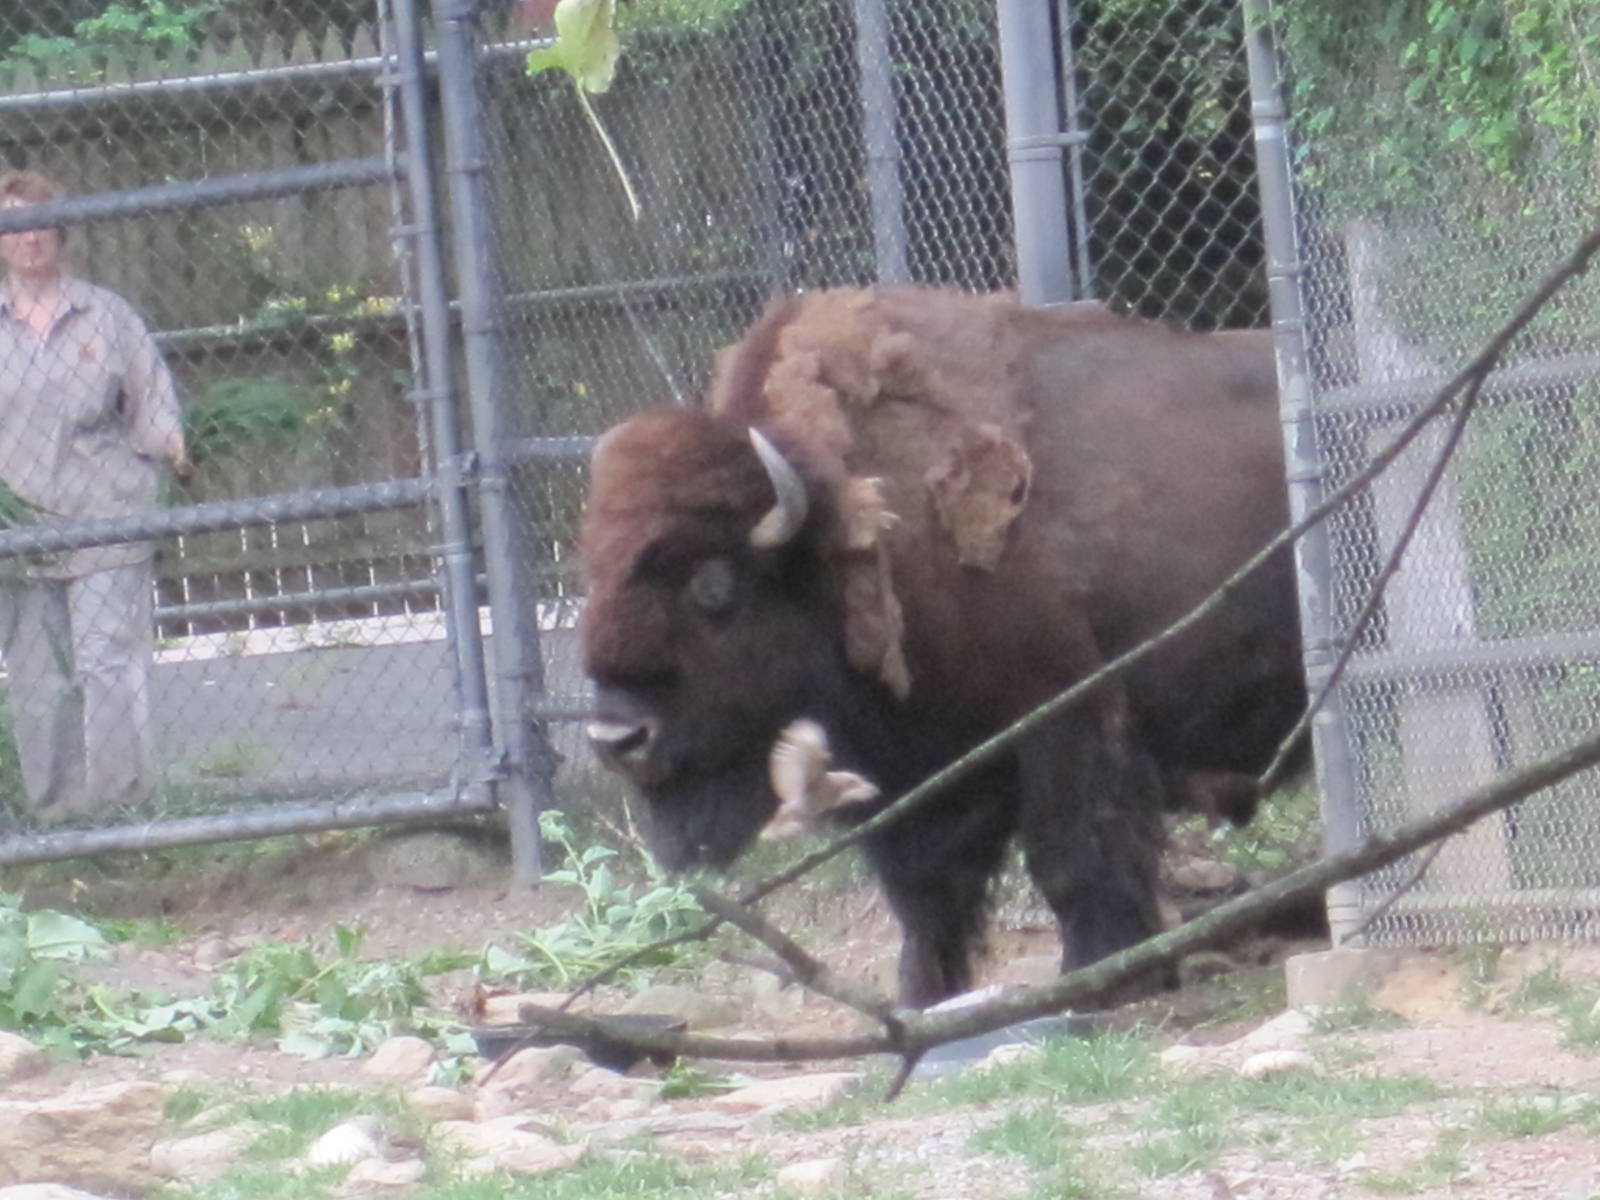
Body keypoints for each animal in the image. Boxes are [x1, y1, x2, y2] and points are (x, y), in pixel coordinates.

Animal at [578, 286, 1304, 1007]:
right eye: (595, 577)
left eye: (713, 584)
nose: (617, 739)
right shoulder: (912, 775)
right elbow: (923, 894)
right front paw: (924, 996)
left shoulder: (1067, 719)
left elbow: (1072, 859)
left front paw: (1098, 981)